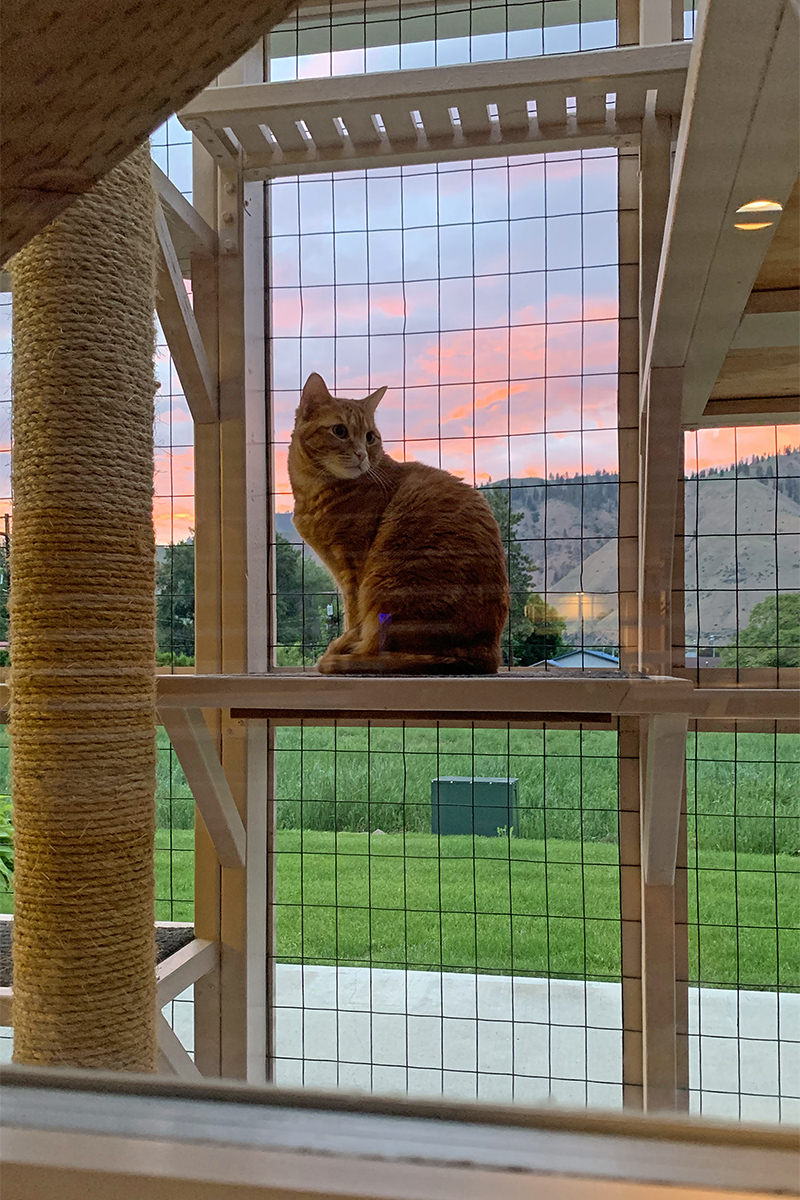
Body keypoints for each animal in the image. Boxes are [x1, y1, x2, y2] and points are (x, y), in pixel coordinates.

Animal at [291, 372, 510, 676]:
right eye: (340, 431)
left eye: (370, 437)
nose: (362, 455)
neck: (314, 492)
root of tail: (488, 655)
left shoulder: (353, 568)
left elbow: (353, 615)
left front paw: (345, 640)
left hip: (385, 582)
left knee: (375, 653)